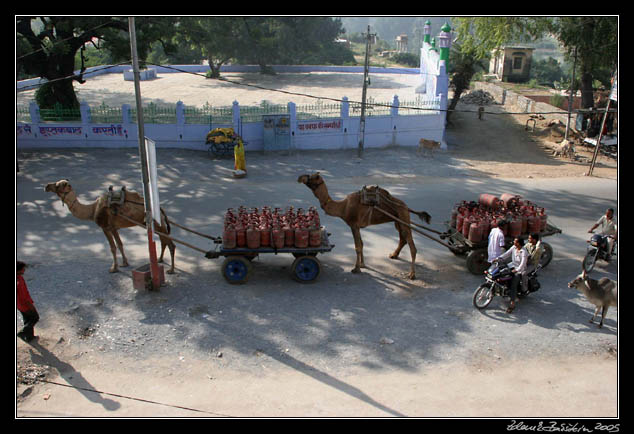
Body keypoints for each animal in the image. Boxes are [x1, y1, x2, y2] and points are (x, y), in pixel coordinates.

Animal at [45, 180, 175, 274]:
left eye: (58, 185)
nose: (46, 186)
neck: (93, 209)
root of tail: (161, 210)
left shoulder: (105, 227)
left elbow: (112, 247)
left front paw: (113, 268)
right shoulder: (114, 228)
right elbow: (120, 244)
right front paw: (124, 263)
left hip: (158, 224)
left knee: (171, 244)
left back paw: (171, 270)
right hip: (157, 225)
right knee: (164, 241)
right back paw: (159, 259)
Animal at [296, 171, 430, 280]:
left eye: (311, 177)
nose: (299, 177)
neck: (343, 207)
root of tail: (406, 207)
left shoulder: (353, 225)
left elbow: (357, 246)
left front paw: (356, 268)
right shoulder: (357, 226)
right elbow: (362, 244)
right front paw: (362, 264)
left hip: (403, 217)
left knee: (412, 246)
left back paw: (412, 274)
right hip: (398, 221)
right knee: (403, 238)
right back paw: (393, 255)